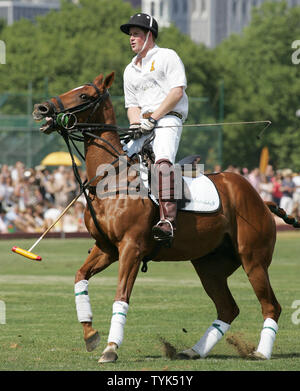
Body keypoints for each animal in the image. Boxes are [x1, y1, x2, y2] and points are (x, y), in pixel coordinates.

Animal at [33, 72, 298, 364]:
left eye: (83, 95)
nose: (41, 108)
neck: (110, 179)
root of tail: (260, 198)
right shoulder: (106, 247)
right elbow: (79, 277)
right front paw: (91, 334)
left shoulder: (131, 248)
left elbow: (121, 296)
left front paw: (111, 348)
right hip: (209, 265)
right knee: (228, 308)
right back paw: (193, 350)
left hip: (253, 259)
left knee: (271, 305)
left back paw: (261, 352)